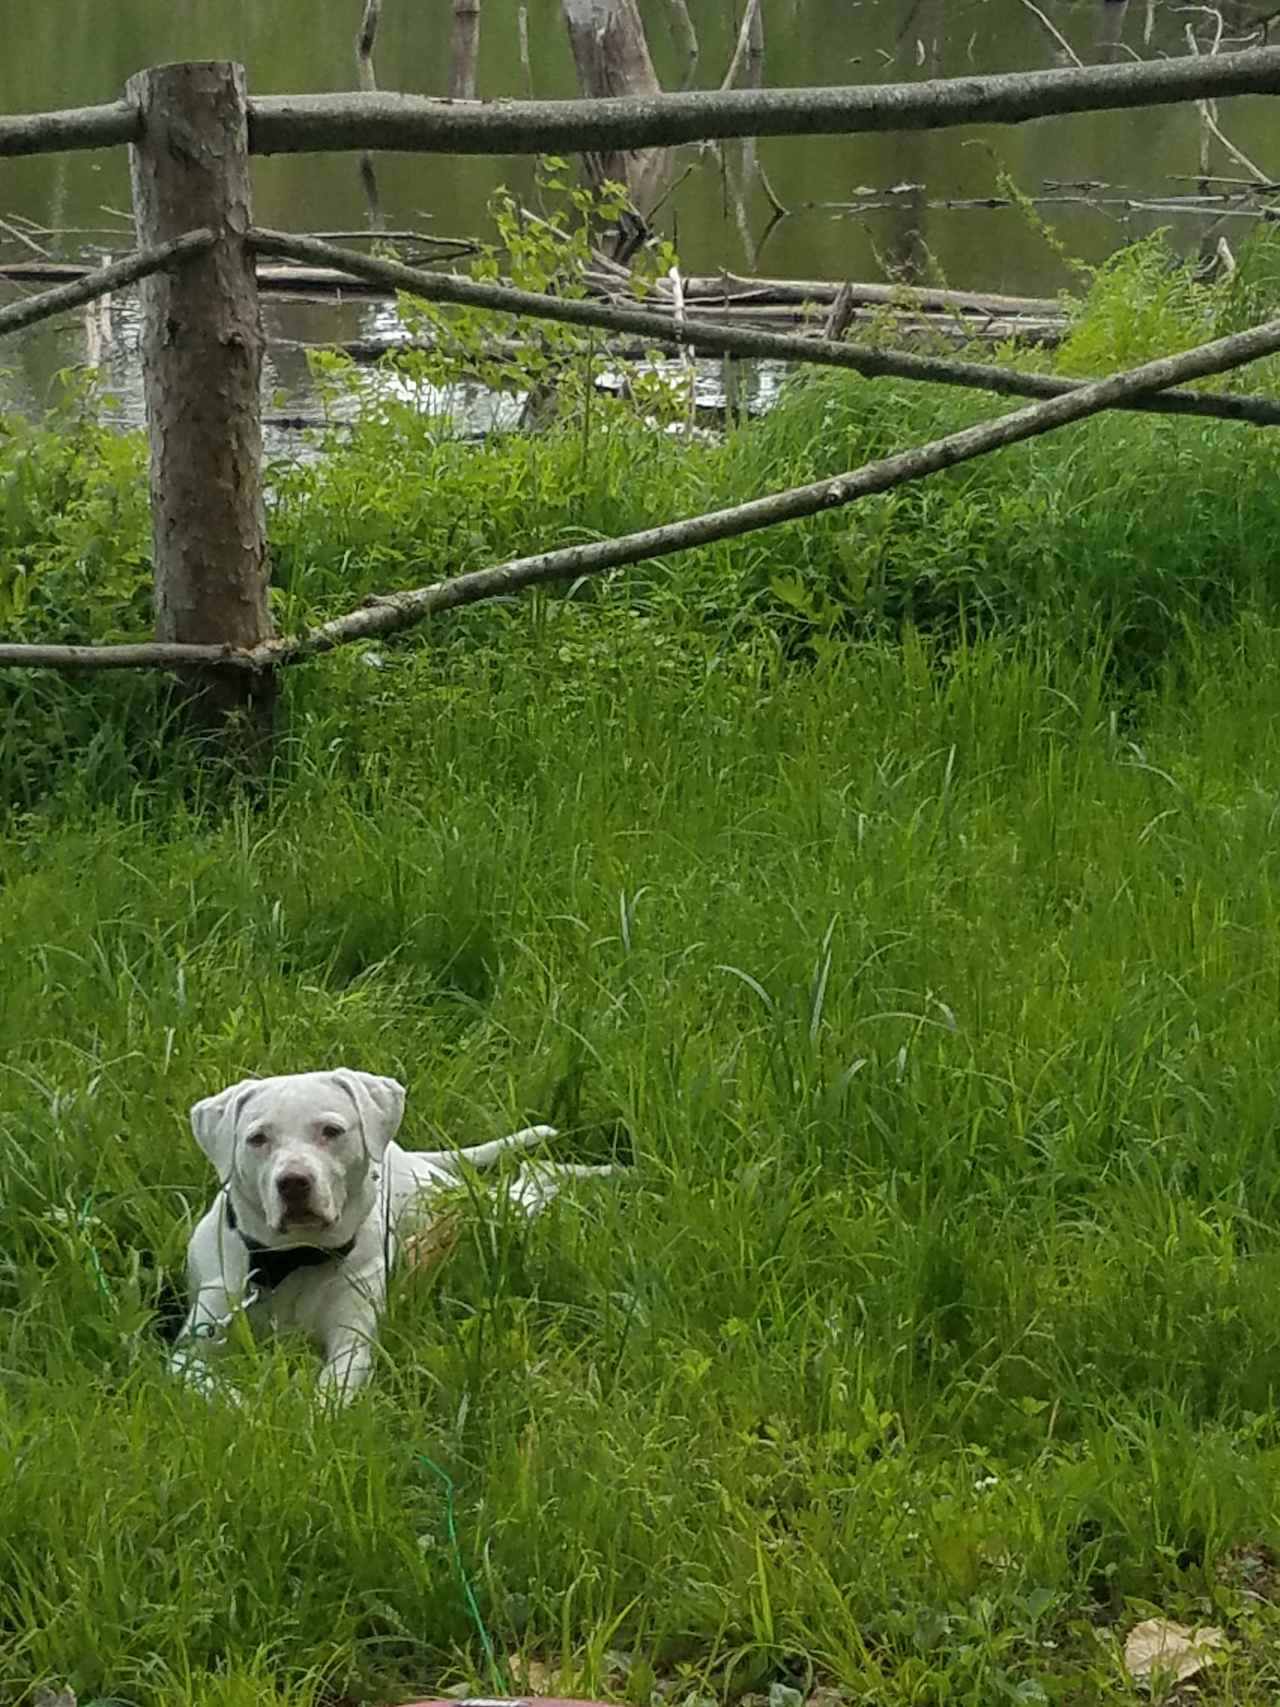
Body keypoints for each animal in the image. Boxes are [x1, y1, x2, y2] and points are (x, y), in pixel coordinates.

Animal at [174, 1065, 610, 1399]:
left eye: (331, 1131)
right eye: (257, 1138)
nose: (293, 1182)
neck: (294, 1259)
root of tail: (403, 1151)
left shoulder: (352, 1342)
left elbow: (330, 1396)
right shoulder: (190, 1351)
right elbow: (216, 1393)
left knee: (535, 1175)